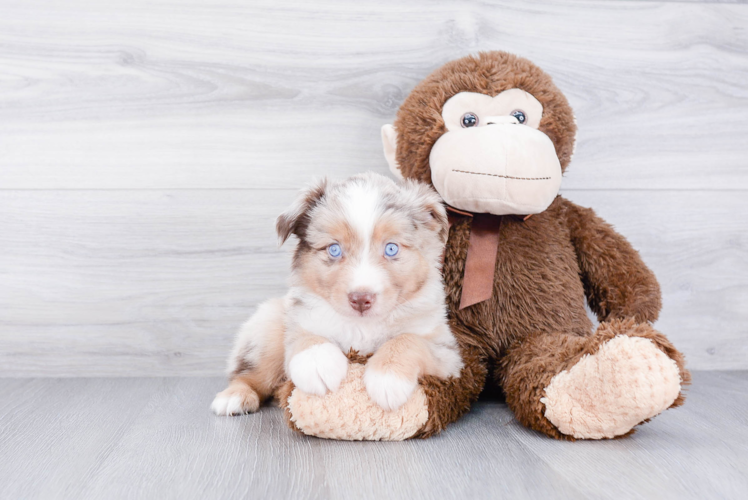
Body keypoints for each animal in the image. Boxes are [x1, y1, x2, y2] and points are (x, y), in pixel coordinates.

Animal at [210, 174, 462, 416]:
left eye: (391, 248)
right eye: (334, 249)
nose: (360, 299)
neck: (363, 326)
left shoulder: (449, 354)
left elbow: (408, 340)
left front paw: (387, 379)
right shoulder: (300, 319)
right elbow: (305, 337)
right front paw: (317, 363)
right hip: (269, 326)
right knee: (249, 374)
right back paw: (235, 396)